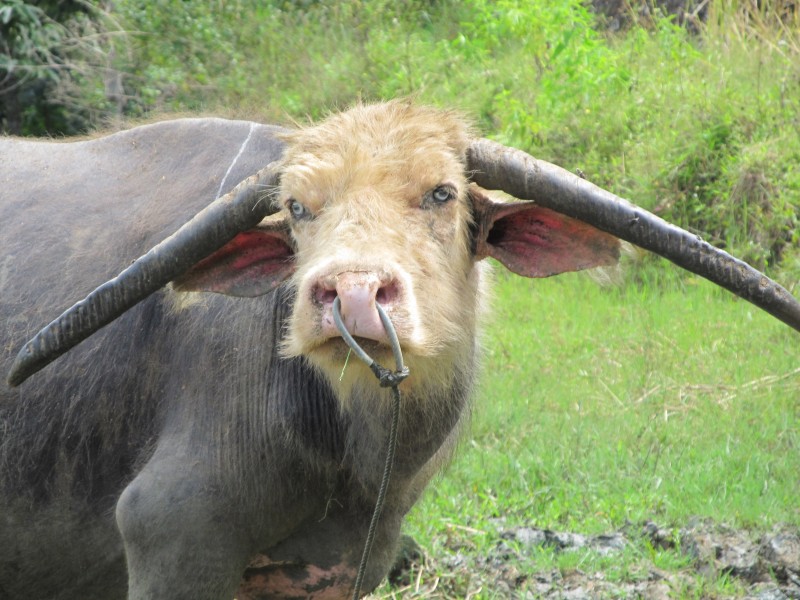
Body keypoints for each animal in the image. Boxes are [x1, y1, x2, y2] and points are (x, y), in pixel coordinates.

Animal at [2, 101, 799, 600]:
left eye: (442, 193)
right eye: (296, 207)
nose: (352, 294)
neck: (350, 452)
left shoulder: (336, 570)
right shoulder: (174, 536)